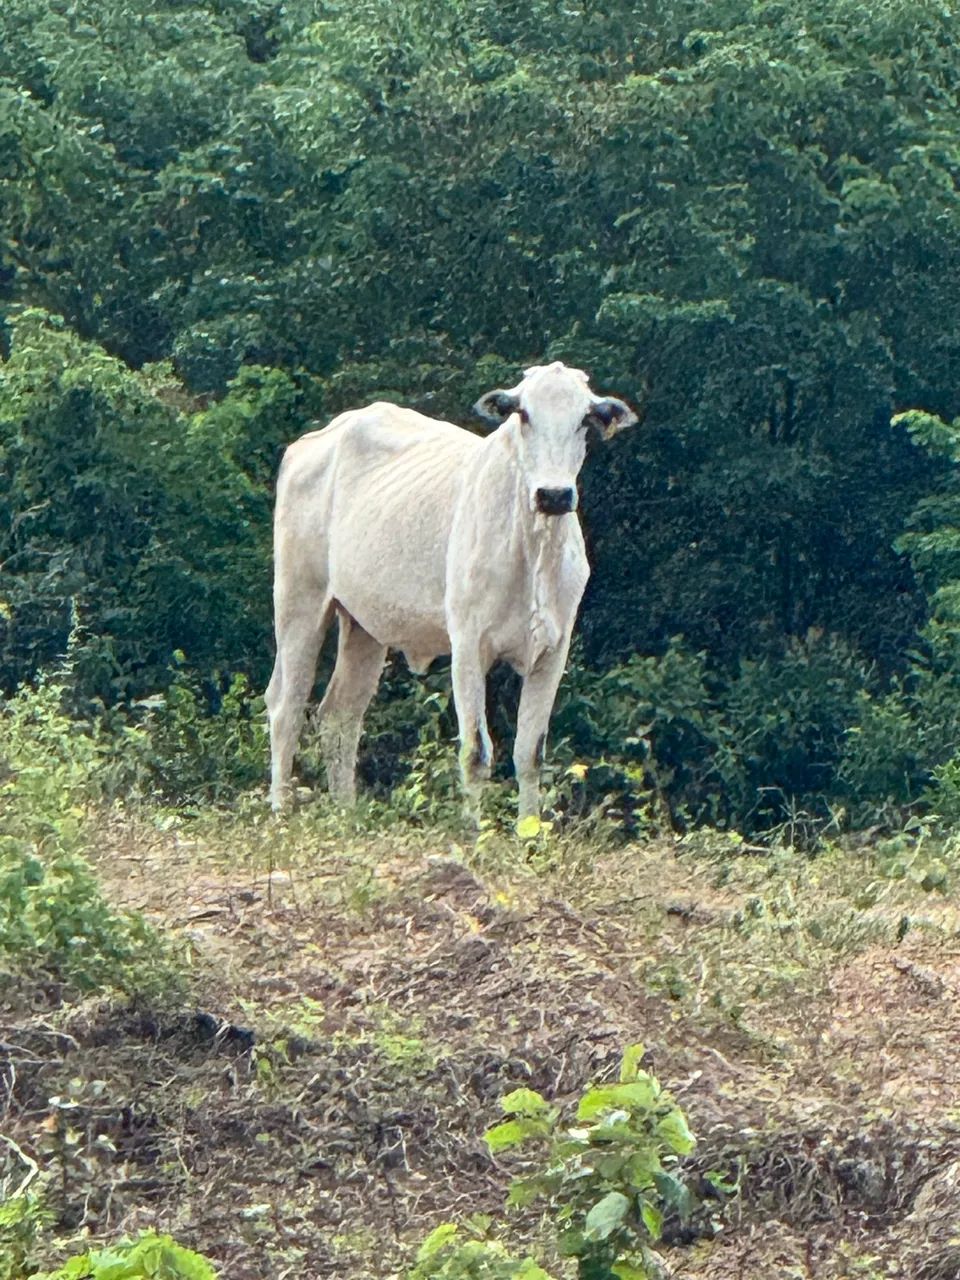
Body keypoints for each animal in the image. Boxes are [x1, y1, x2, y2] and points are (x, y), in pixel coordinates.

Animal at [265, 361, 637, 820]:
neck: (534, 548)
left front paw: (528, 830)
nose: (553, 495)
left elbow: (530, 754)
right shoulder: (469, 646)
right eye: (523, 414)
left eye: (585, 419)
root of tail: (318, 438)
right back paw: (280, 811)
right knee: (286, 705)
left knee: (340, 714)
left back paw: (346, 813)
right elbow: (476, 753)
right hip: (299, 599)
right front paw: (474, 829)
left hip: (365, 627)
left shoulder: (552, 651)